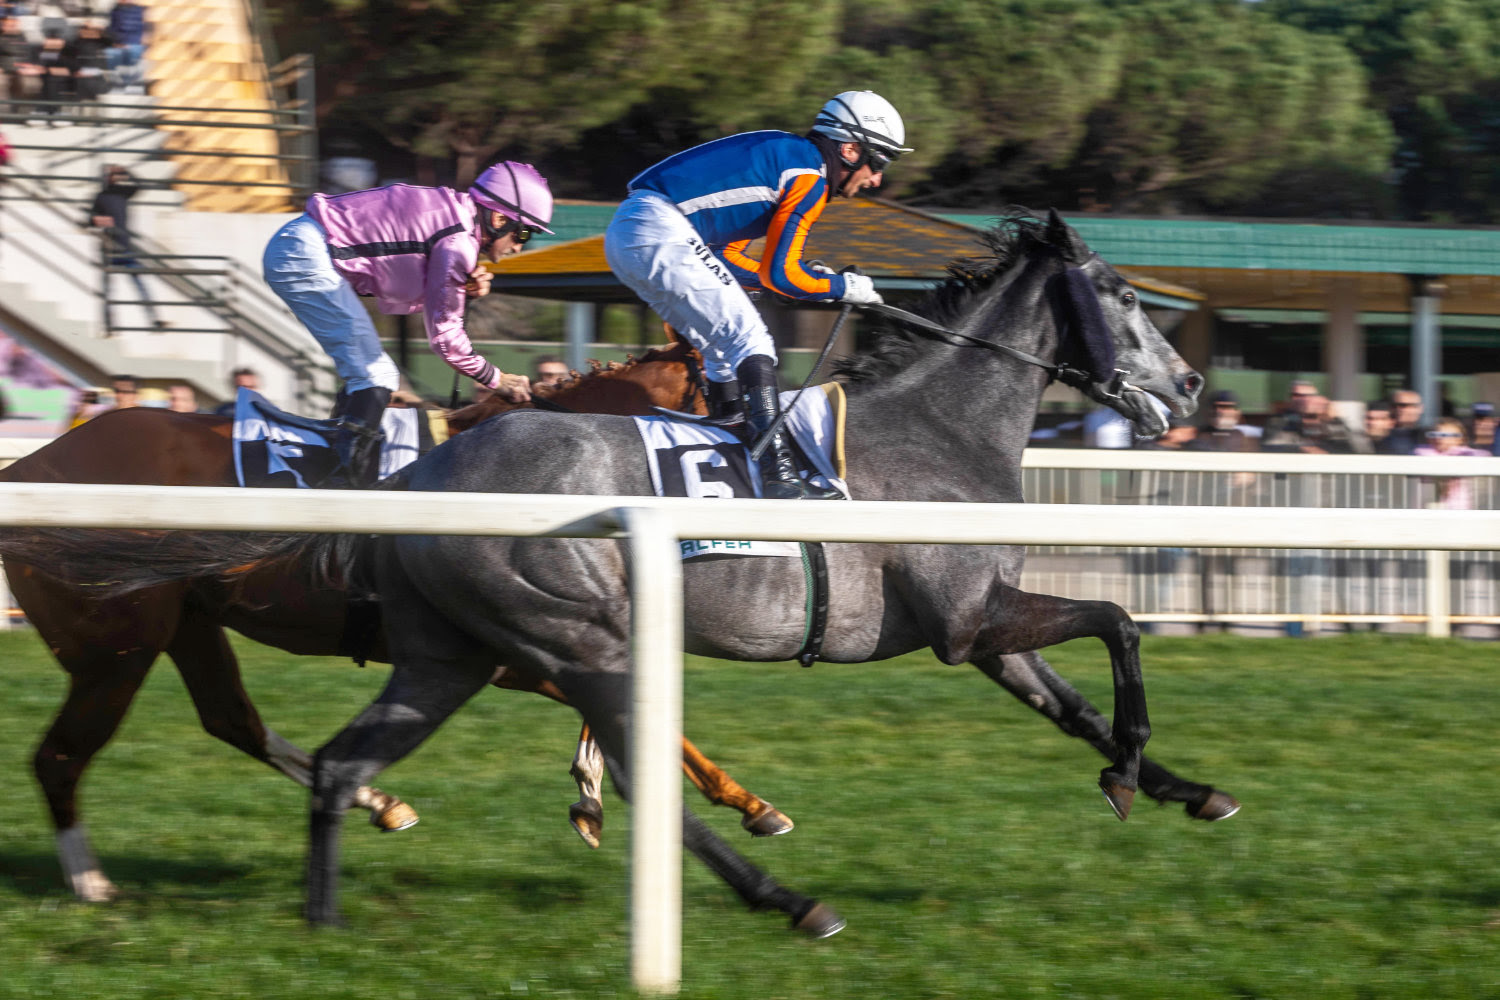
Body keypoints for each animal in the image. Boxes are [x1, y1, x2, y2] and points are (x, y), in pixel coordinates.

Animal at [0, 341, 792, 899]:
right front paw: (748, 805)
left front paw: (605, 795)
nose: (768, 468)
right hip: (116, 645)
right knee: (60, 757)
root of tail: (29, 466)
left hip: (185, 623)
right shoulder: (515, 654)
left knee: (231, 719)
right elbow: (642, 718)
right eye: (730, 392)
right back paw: (92, 883)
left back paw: (378, 801)